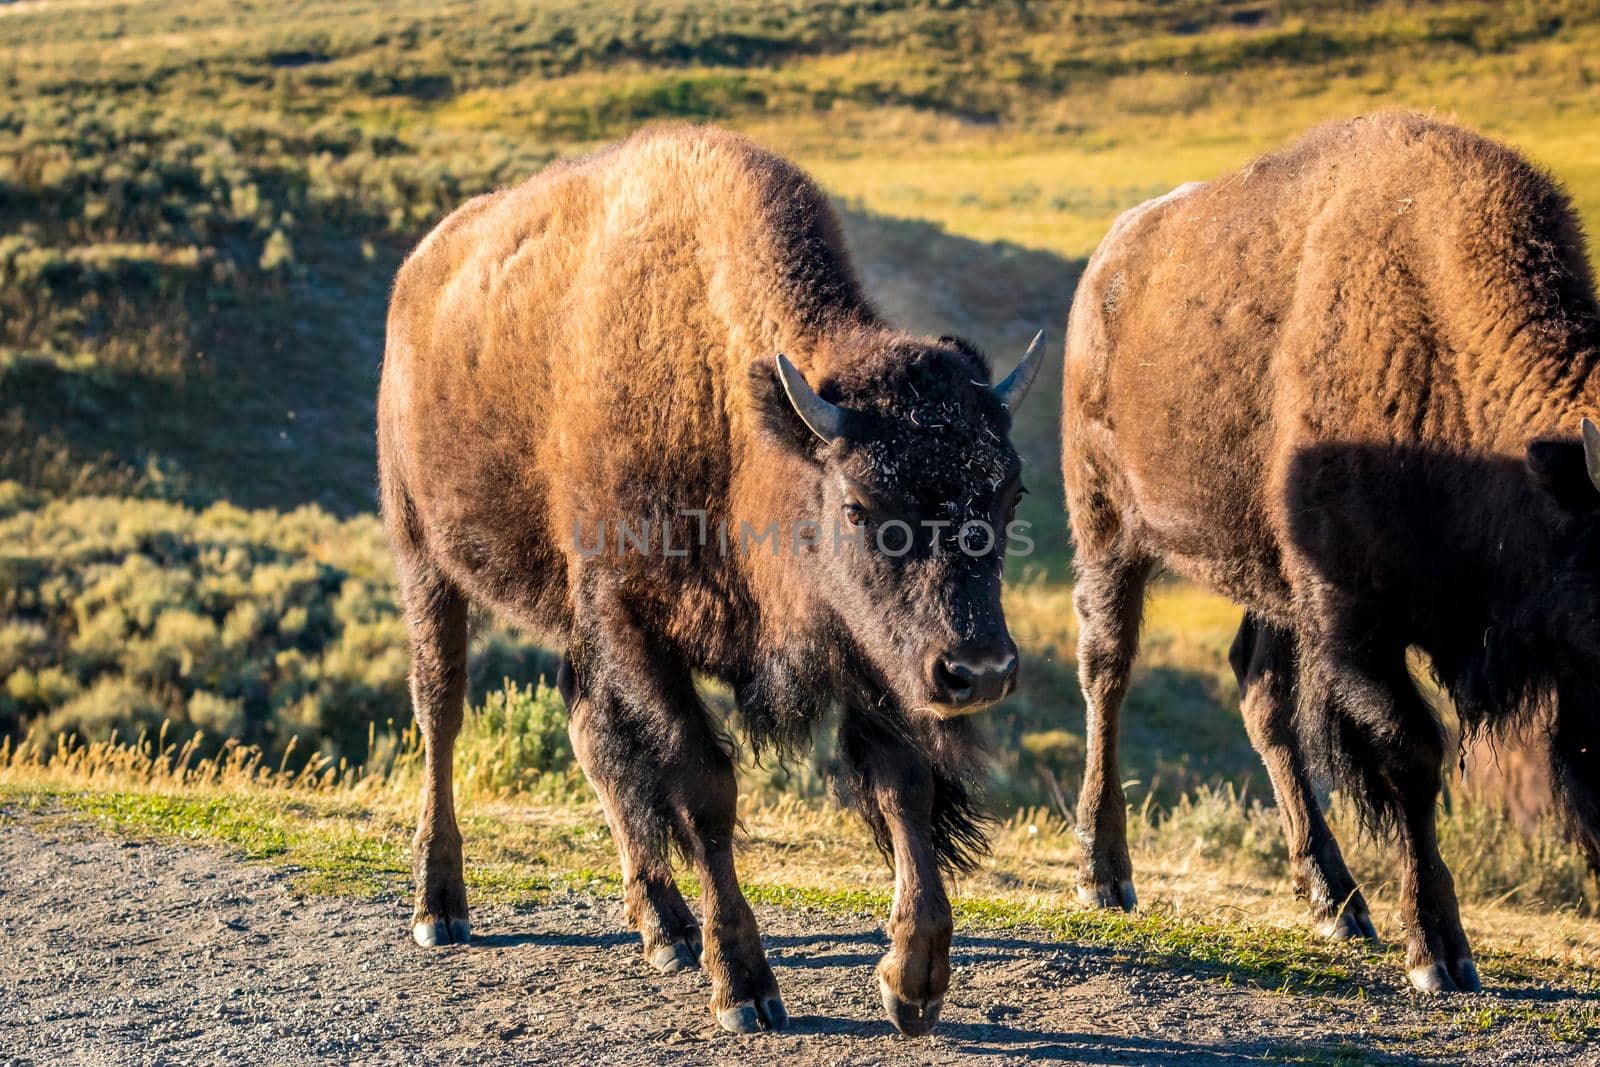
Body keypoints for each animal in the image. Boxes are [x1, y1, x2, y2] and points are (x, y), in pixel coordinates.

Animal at [379, 125, 1043, 1036]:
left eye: (1009, 494)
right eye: (860, 505)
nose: (979, 669)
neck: (736, 415)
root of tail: (420, 271)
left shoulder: (864, 645)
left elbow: (900, 781)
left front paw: (914, 980)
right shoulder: (636, 622)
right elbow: (705, 789)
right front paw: (745, 987)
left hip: (570, 621)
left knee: (585, 725)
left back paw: (663, 924)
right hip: (424, 554)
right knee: (441, 709)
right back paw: (440, 907)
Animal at [1062, 112, 1600, 998]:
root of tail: (1111, 261)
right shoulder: (1355, 618)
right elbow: (1412, 753)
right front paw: (1439, 953)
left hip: (1267, 580)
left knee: (1259, 693)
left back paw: (1336, 900)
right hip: (1108, 525)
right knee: (1108, 669)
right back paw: (1106, 875)